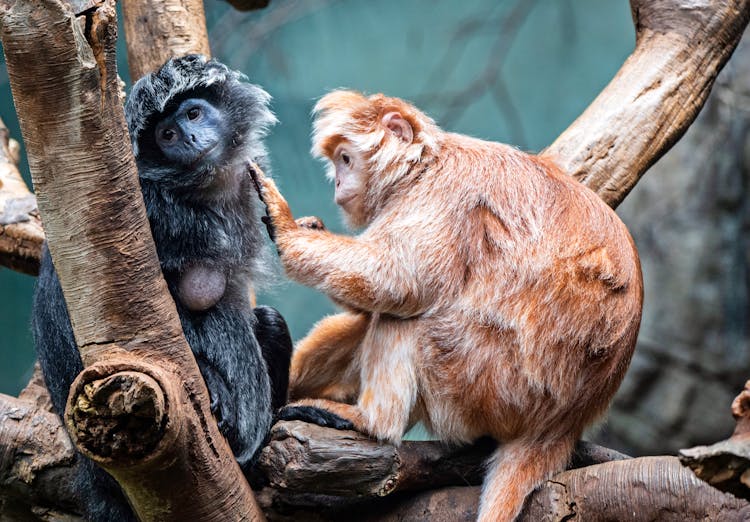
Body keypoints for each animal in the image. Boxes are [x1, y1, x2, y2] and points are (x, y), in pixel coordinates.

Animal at [32, 54, 292, 516]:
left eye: (193, 114)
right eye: (166, 135)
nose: (188, 136)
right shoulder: (146, 211)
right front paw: (211, 380)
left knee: (271, 321)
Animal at [251, 90, 640, 520]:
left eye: (346, 160)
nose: (337, 181)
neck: (425, 166)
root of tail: (563, 421)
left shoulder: (443, 194)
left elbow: (399, 282)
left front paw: (286, 228)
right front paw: (309, 229)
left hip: (486, 384)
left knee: (405, 318)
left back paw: (370, 421)